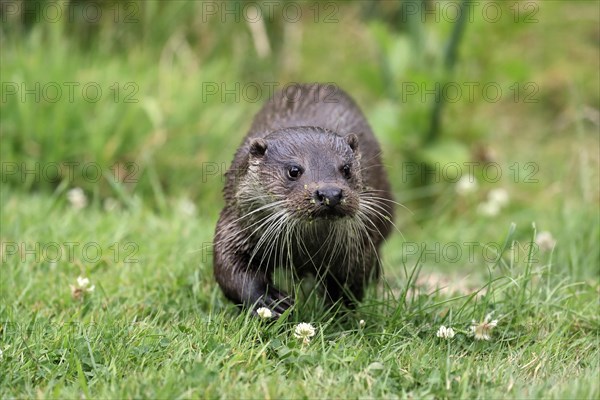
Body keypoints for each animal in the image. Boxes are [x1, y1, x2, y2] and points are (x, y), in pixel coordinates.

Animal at [213, 83, 396, 316]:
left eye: (346, 169)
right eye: (294, 170)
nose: (330, 193)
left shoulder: (358, 244)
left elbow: (350, 284)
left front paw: (337, 312)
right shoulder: (236, 223)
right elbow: (229, 266)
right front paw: (271, 301)